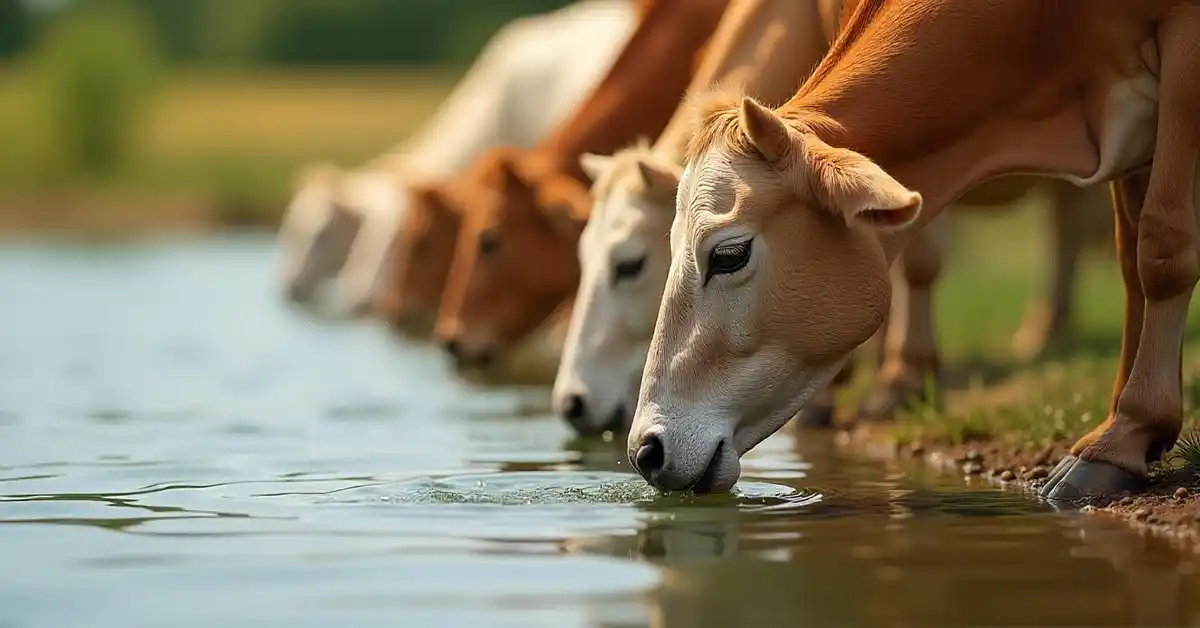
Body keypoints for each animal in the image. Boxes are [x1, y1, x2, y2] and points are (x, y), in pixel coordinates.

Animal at [628, 0, 1190, 501]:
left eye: (728, 255)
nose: (645, 450)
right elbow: (1130, 263)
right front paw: (1120, 425)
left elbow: (1161, 248)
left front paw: (1124, 438)